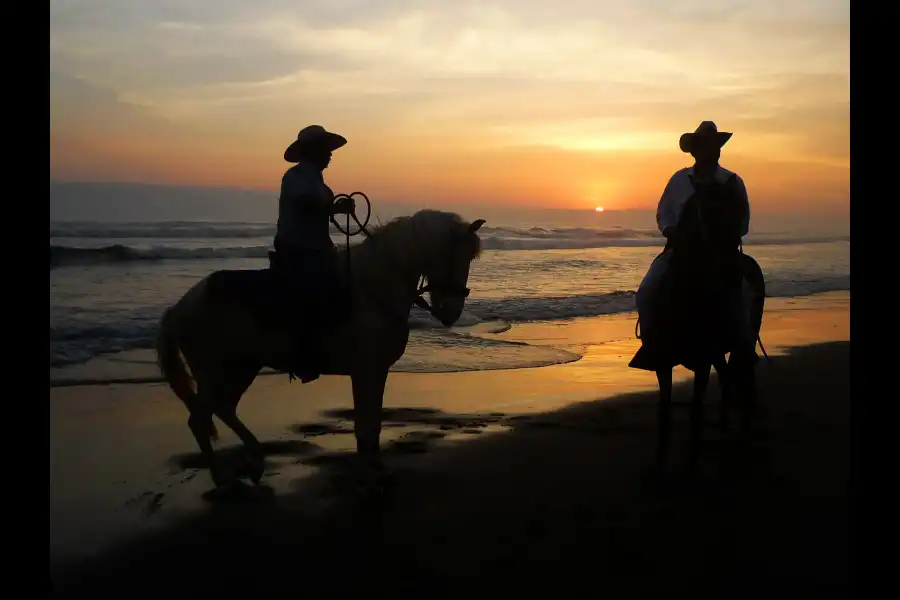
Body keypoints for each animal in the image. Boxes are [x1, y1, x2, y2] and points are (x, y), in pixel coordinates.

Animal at [155, 210, 486, 488]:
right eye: (456, 257)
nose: (451, 313)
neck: (373, 289)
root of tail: (181, 307)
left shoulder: (377, 370)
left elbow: (375, 422)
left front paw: (377, 467)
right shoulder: (365, 370)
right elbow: (365, 425)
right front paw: (369, 472)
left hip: (241, 368)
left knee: (224, 408)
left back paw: (256, 461)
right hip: (215, 373)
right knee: (200, 420)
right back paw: (222, 478)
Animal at [628, 173, 764, 474]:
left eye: (738, 210)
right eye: (711, 212)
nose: (733, 271)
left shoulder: (702, 361)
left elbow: (695, 411)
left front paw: (691, 465)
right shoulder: (663, 361)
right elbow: (665, 408)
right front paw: (660, 462)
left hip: (744, 340)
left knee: (746, 378)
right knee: (727, 377)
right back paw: (724, 426)